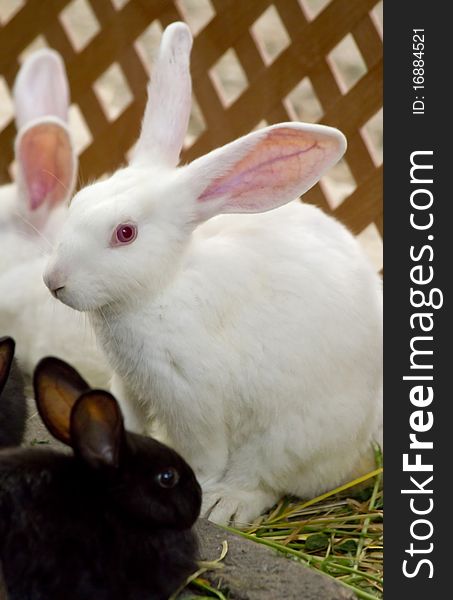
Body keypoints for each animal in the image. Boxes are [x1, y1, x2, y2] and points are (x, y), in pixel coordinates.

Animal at [43, 21, 382, 524]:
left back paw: (226, 504)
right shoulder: (130, 384)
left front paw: (192, 486)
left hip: (287, 437)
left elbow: (202, 454)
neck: (160, 290)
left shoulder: (190, 399)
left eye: (125, 233)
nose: (53, 281)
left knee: (263, 482)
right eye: (80, 201)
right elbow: (125, 417)